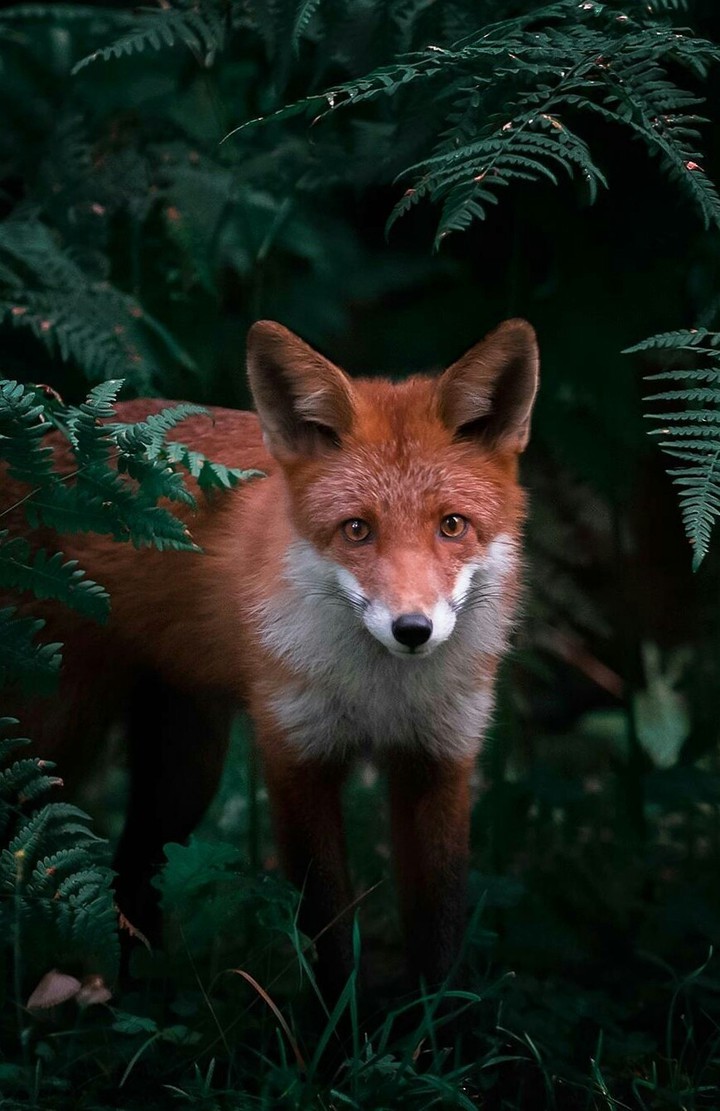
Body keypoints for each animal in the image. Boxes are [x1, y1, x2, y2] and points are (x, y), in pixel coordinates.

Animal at [6, 317, 539, 996]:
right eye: (357, 529)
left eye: (452, 525)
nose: (412, 629)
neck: (381, 694)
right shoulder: (296, 756)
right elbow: (328, 936)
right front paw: (336, 1027)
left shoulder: (439, 761)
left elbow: (441, 936)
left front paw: (441, 1023)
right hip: (53, 739)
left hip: (185, 771)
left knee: (132, 874)